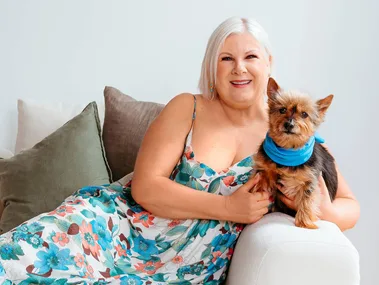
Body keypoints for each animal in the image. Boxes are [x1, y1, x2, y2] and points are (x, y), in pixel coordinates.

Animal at [252, 77, 338, 229]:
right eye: (282, 110)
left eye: (304, 114)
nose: (289, 124)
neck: (288, 150)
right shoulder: (265, 167)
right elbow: (262, 177)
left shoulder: (310, 180)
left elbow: (307, 199)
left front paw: (304, 223)